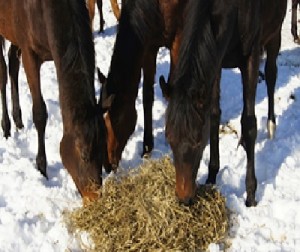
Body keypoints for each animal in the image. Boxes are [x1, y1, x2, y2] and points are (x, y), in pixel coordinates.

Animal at [0, 0, 106, 201]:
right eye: (84, 154)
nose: (96, 197)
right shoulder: (30, 54)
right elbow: (39, 113)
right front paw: (41, 167)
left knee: (12, 63)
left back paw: (18, 120)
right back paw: (7, 127)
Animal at [101, 0, 189, 171]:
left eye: (116, 119)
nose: (108, 165)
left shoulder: (177, 38)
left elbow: (172, 88)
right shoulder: (149, 46)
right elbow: (147, 96)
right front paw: (147, 146)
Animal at [161, 0, 288, 207]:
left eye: (198, 142)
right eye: (169, 138)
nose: (184, 199)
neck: (232, 9)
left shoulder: (251, 58)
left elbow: (249, 123)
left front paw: (250, 194)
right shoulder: (215, 61)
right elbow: (213, 115)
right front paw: (212, 175)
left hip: (274, 35)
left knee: (271, 75)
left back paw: (271, 126)